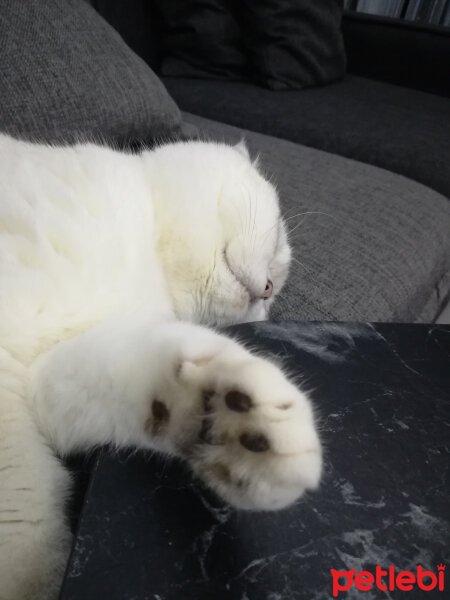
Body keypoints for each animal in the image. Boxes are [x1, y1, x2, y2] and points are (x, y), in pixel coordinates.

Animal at [0, 134, 324, 596]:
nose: (267, 291)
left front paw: (237, 423)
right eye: (279, 238)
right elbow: (25, 506)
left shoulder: (50, 379)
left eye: (273, 295)